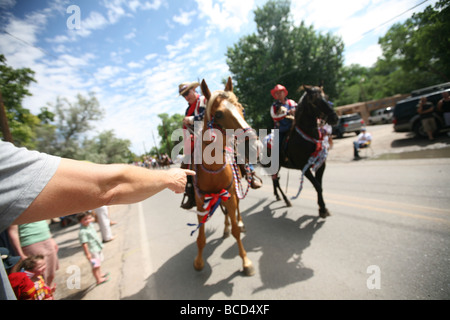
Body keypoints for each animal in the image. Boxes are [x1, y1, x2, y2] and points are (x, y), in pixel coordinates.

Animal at [190, 77, 258, 276]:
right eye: (219, 114)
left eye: (241, 108)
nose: (254, 146)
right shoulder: (201, 203)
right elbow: (201, 237)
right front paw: (199, 262)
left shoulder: (230, 195)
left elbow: (236, 231)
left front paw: (246, 262)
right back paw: (226, 228)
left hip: (234, 193)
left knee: (236, 212)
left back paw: (240, 223)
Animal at [264, 85, 338, 218]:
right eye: (315, 102)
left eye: (326, 97)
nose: (335, 118)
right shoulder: (305, 167)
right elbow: (317, 186)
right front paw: (323, 209)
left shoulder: (320, 165)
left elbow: (320, 185)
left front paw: (322, 208)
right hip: (275, 166)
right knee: (276, 181)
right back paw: (286, 200)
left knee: (275, 180)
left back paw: (277, 196)